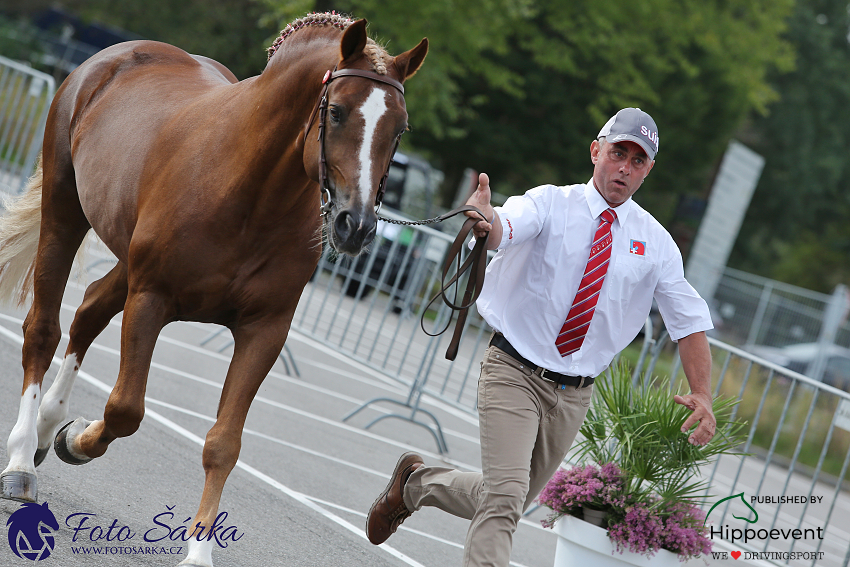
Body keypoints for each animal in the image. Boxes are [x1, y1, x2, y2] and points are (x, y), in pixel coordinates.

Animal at [0, 13, 424, 567]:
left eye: (400, 129)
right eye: (336, 112)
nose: (356, 226)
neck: (250, 189)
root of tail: (113, 57)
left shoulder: (264, 330)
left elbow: (224, 442)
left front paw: (199, 550)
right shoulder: (151, 298)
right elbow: (125, 409)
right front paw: (79, 441)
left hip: (124, 258)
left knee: (89, 308)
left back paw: (51, 426)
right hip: (64, 212)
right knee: (43, 329)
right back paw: (22, 460)